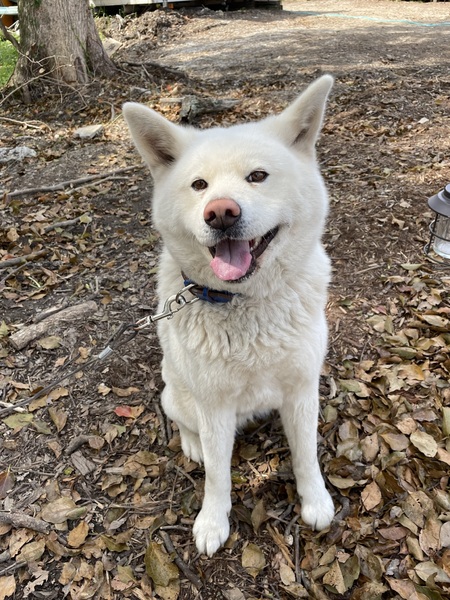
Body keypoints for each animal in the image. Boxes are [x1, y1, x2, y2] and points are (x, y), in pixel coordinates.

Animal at [123, 74, 335, 556]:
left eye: (257, 176)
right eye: (199, 185)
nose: (220, 212)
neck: (244, 304)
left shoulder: (302, 390)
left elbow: (307, 454)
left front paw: (315, 500)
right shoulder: (214, 405)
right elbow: (217, 475)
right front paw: (212, 522)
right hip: (178, 394)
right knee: (185, 424)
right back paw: (192, 444)